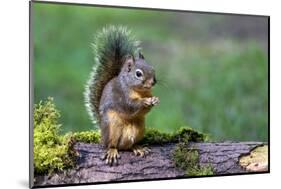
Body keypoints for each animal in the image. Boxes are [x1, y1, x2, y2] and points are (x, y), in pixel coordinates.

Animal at [84, 25, 159, 165]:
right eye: (138, 74)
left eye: (153, 69)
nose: (153, 82)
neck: (139, 91)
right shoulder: (121, 95)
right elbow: (130, 105)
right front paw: (144, 101)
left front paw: (155, 100)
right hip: (112, 127)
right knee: (112, 144)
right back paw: (112, 151)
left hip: (139, 128)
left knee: (129, 145)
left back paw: (137, 147)